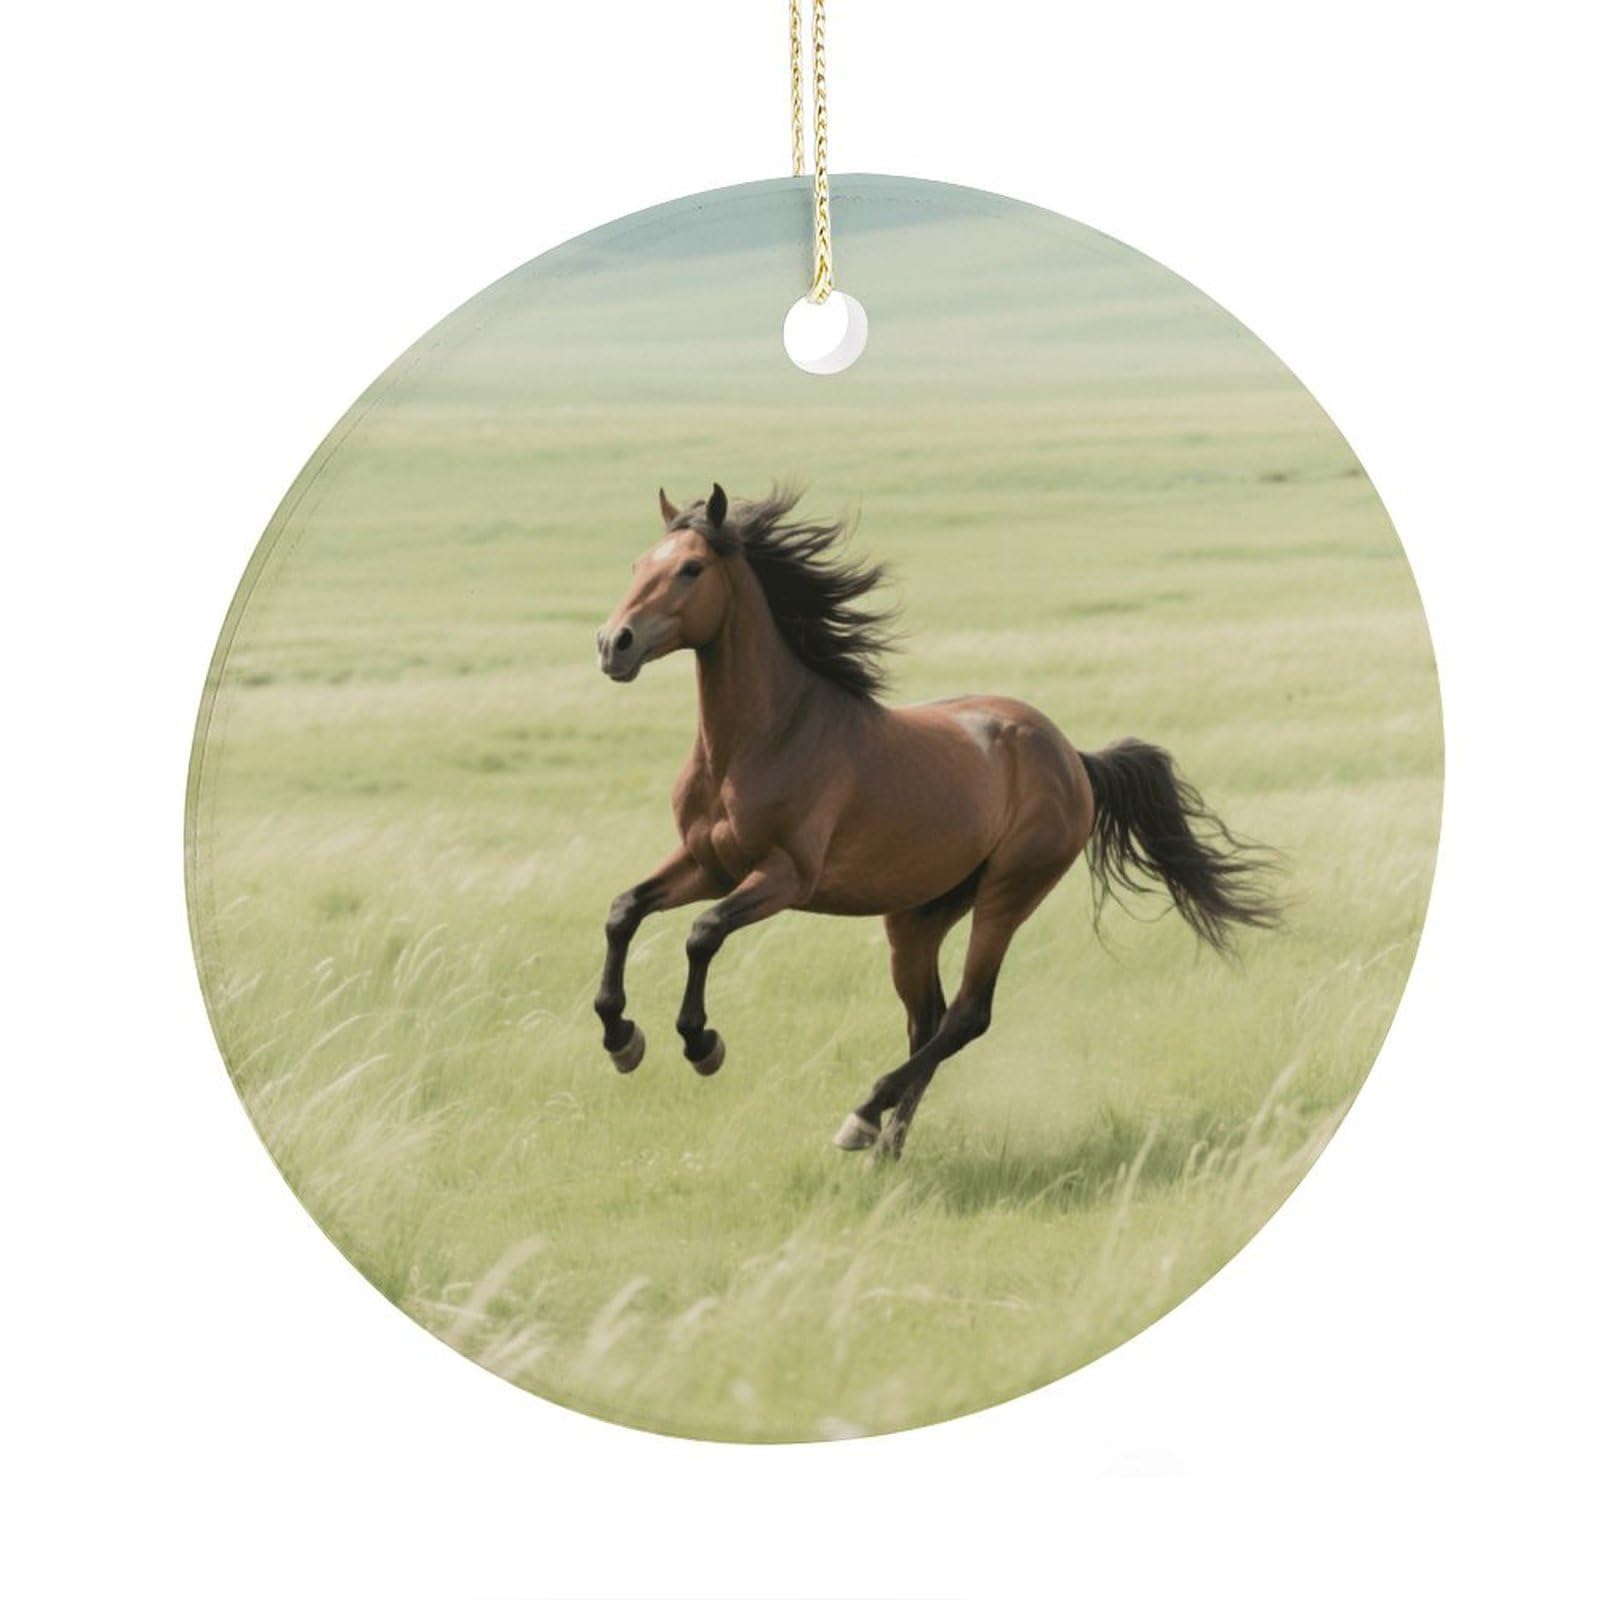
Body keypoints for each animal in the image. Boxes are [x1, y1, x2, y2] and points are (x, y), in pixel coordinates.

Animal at [592, 484, 1281, 1159]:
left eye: (691, 568)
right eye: (637, 564)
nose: (613, 644)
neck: (765, 738)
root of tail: (1074, 758)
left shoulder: (784, 876)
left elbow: (703, 933)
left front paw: (700, 1043)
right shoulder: (707, 863)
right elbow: (624, 911)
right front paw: (621, 1037)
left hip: (1008, 892)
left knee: (966, 1016)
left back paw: (862, 1119)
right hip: (919, 914)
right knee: (928, 1018)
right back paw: (887, 1148)